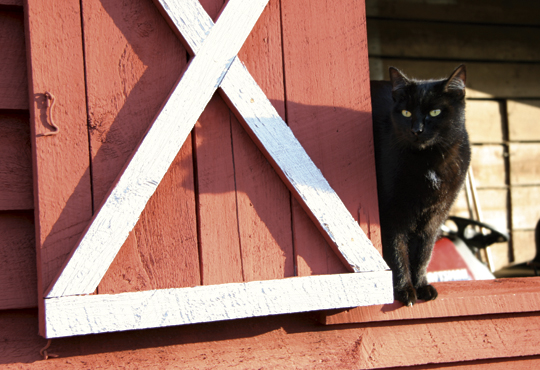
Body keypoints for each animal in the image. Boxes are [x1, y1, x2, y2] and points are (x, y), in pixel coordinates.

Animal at [372, 66, 472, 306]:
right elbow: (396, 251)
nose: (416, 129)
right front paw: (404, 290)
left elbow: (423, 252)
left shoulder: (435, 216)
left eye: (435, 112)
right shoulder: (390, 214)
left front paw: (421, 286)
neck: (429, 160)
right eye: (406, 113)